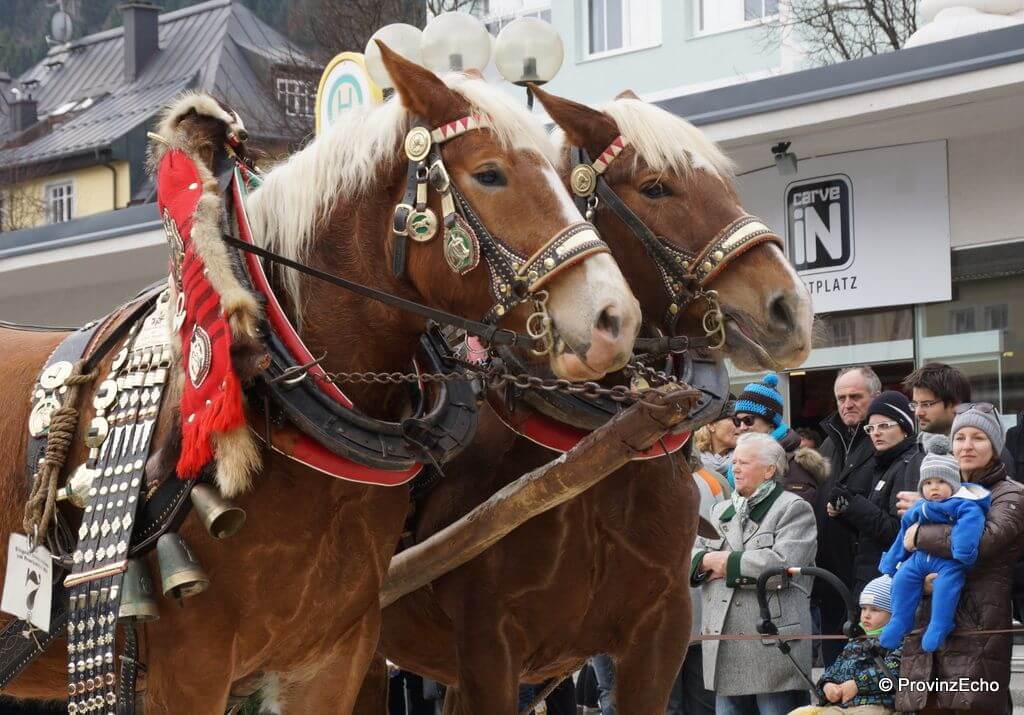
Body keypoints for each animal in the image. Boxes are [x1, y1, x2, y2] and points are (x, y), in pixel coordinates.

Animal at [353, 87, 814, 714]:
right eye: (655, 187)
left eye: (727, 181)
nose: (790, 308)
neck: (590, 452)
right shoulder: (488, 650)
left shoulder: (660, 633)